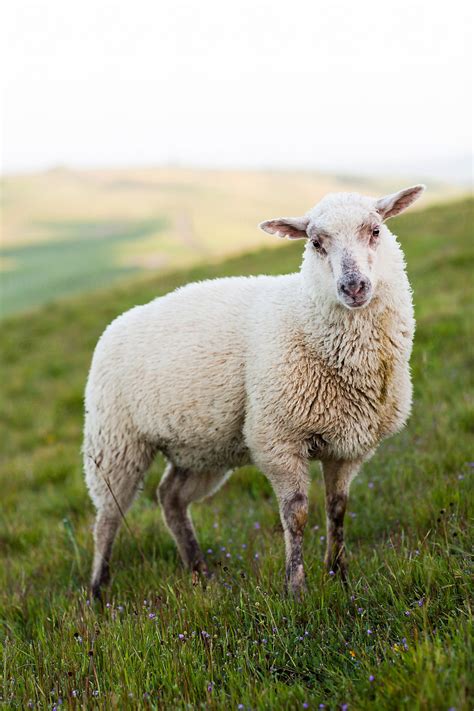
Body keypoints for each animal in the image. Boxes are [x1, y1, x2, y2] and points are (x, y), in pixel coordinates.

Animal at [83, 184, 424, 600]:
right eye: (315, 242)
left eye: (375, 230)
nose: (353, 286)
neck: (306, 318)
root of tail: (115, 323)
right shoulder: (277, 439)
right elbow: (297, 514)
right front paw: (296, 589)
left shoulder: (349, 446)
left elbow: (338, 509)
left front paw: (339, 577)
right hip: (115, 441)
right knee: (107, 518)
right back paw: (98, 591)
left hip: (201, 448)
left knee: (171, 497)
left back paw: (199, 572)